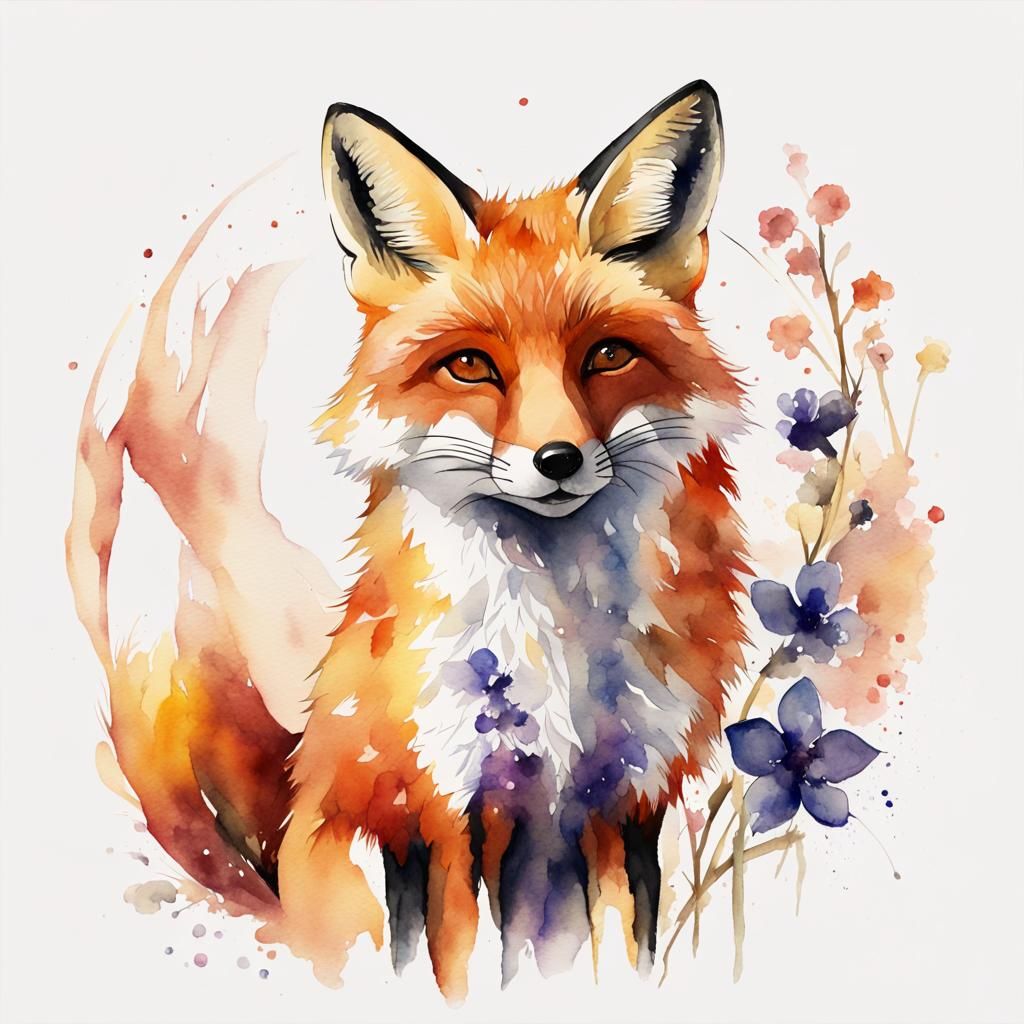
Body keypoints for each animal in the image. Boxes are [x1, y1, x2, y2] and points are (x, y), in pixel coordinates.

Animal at [81, 80, 749, 1002]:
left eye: (608, 355)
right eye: (471, 366)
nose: (558, 459)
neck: (557, 638)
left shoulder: (625, 803)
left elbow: (623, 951)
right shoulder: (443, 806)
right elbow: (455, 967)